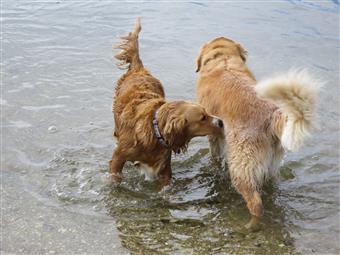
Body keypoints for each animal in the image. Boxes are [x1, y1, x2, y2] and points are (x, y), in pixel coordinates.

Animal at [110, 19, 224, 187]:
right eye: (202, 118)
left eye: (207, 112)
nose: (221, 122)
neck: (154, 130)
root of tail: (139, 69)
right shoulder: (118, 158)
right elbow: (114, 175)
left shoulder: (164, 167)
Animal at [195, 36, 320, 229]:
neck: (223, 61)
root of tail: (272, 115)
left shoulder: (214, 133)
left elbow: (215, 155)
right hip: (270, 165)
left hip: (242, 167)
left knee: (255, 203)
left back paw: (251, 225)